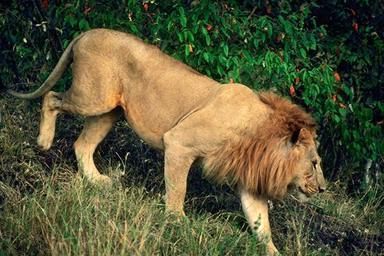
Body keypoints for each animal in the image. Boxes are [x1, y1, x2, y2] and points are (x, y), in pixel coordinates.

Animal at [9, 28, 326, 254]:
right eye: (314, 163)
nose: (323, 189)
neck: (258, 134)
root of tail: (85, 33)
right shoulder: (179, 143)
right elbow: (177, 189)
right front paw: (177, 222)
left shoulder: (248, 179)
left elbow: (261, 223)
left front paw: (273, 251)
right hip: (93, 98)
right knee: (51, 98)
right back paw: (44, 141)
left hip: (109, 112)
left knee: (82, 145)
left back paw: (96, 180)